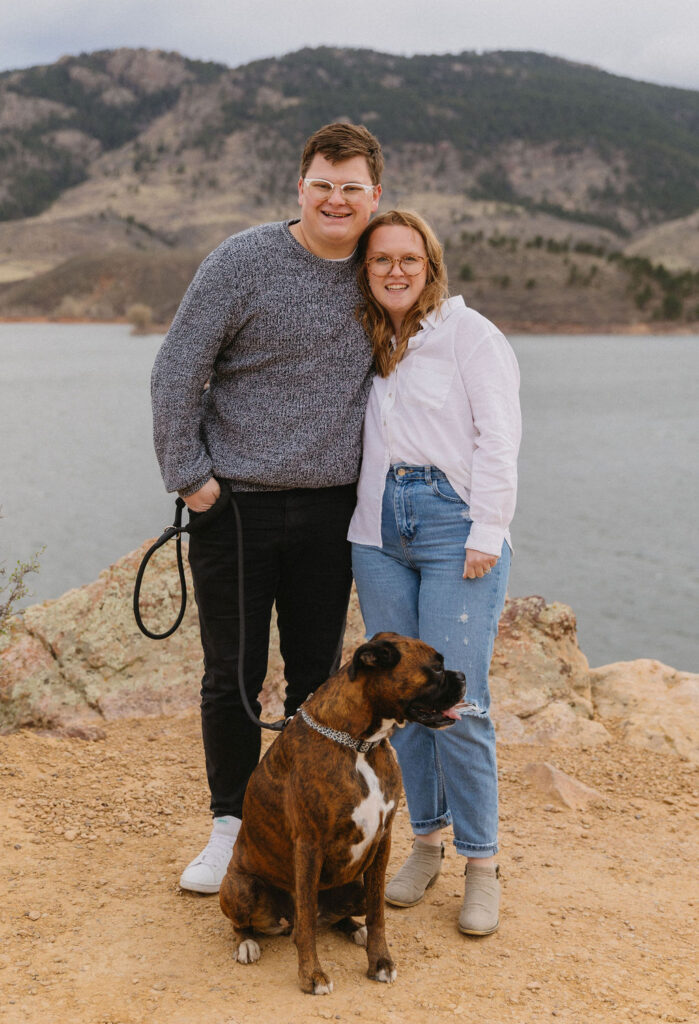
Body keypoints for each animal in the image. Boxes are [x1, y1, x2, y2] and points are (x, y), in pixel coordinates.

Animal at [221, 630, 466, 991]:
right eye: (435, 667)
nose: (463, 676)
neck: (359, 744)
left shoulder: (382, 840)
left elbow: (378, 914)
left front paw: (380, 961)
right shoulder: (309, 846)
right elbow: (306, 924)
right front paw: (311, 975)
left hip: (356, 886)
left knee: (336, 916)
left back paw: (354, 928)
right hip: (240, 887)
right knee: (260, 923)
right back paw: (247, 944)